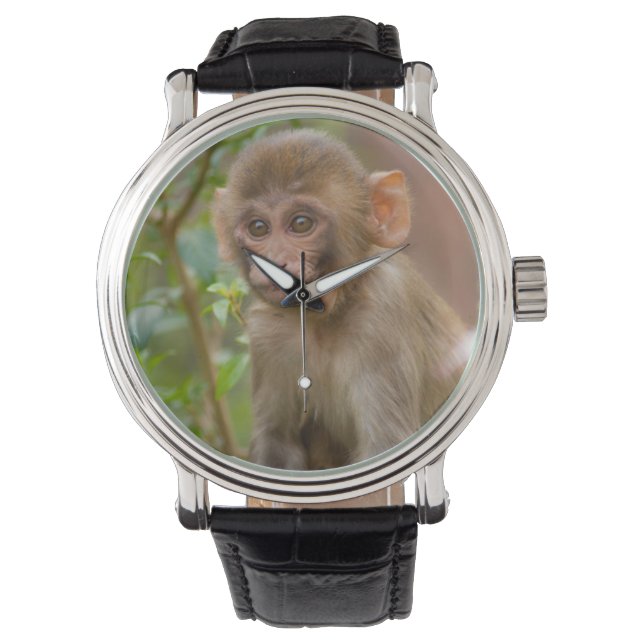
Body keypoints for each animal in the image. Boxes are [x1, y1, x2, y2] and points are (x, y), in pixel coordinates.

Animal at [213, 128, 468, 470]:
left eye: (301, 223)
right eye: (258, 228)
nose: (277, 262)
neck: (324, 319)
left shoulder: (383, 312)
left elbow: (384, 443)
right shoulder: (266, 333)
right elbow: (277, 442)